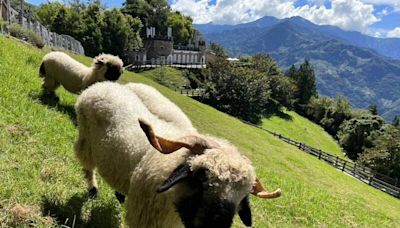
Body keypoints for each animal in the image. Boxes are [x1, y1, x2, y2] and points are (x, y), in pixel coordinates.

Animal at [75, 81, 282, 226]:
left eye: (243, 196)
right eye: (201, 176)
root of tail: (103, 85)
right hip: (85, 138)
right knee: (87, 166)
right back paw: (93, 190)